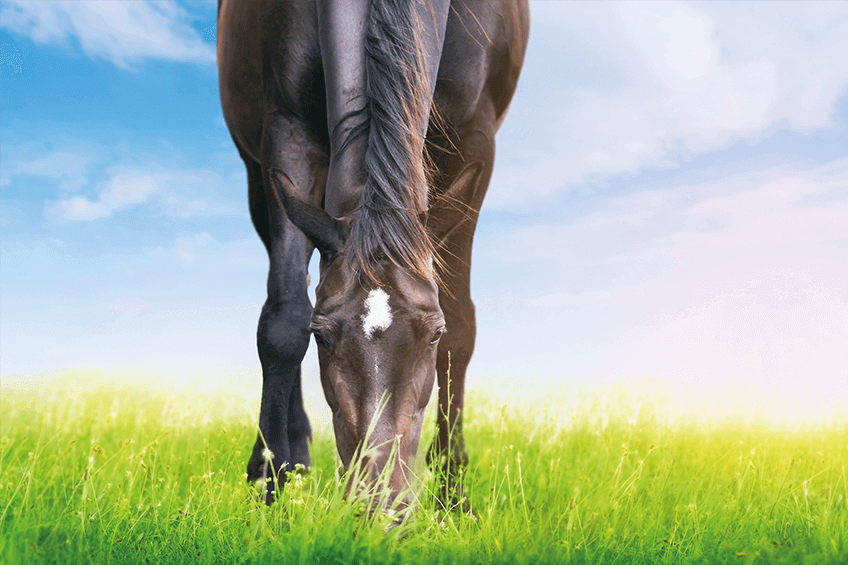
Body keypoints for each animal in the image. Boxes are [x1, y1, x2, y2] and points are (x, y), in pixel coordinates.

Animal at [217, 0, 529, 511]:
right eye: (322, 336)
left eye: (433, 333)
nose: (379, 503)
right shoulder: (287, 132)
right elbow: (284, 321)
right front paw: (270, 483)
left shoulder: (474, 140)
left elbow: (463, 327)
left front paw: (453, 493)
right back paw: (295, 456)